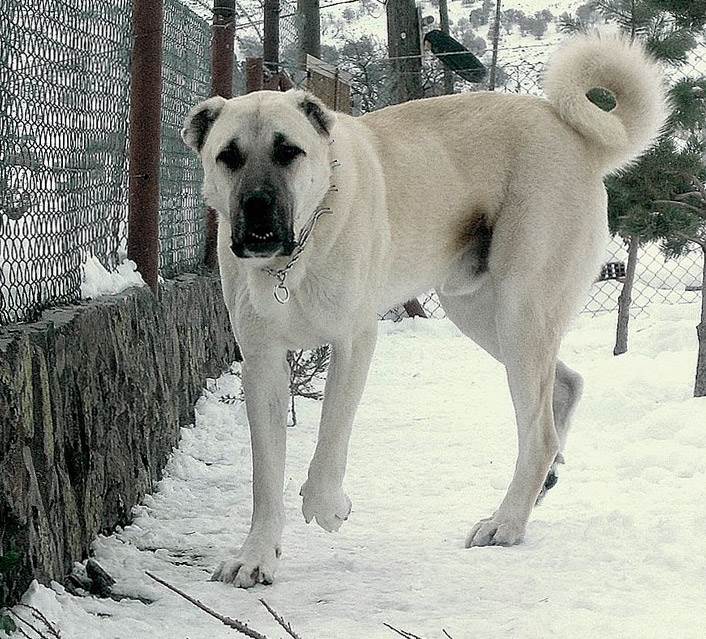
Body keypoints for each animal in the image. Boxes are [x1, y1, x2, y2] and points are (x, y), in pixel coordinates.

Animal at [181, 34, 668, 588]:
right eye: (228, 156)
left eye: (288, 152)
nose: (258, 208)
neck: (294, 257)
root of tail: (577, 137)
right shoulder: (261, 361)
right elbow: (265, 475)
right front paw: (257, 555)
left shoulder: (354, 341)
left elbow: (331, 435)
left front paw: (327, 506)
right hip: (478, 313)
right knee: (565, 386)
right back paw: (543, 484)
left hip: (520, 312)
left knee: (539, 432)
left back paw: (506, 523)